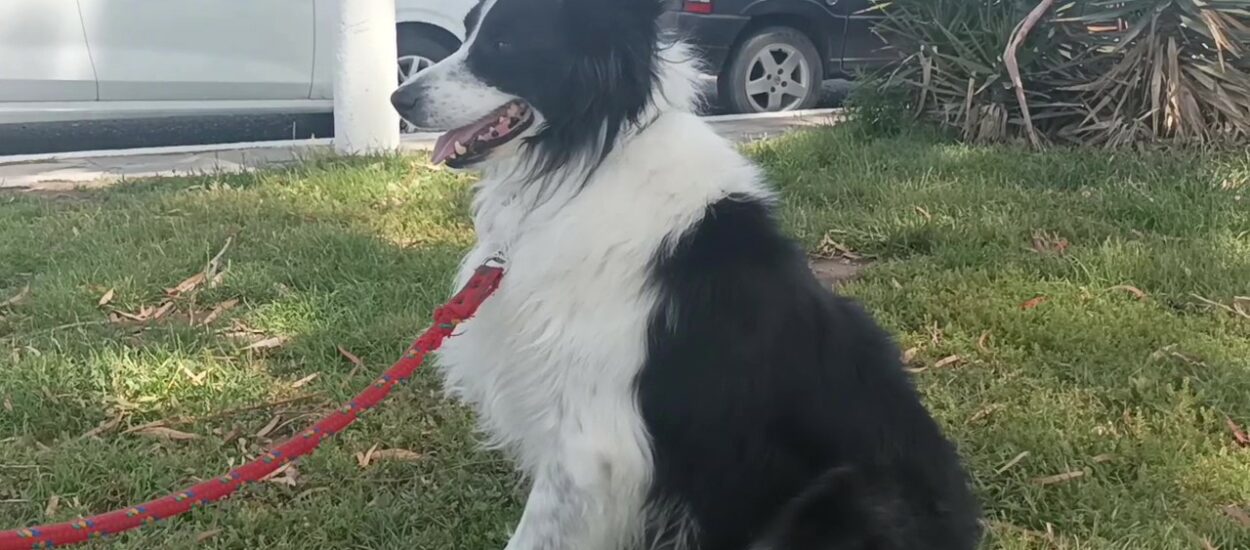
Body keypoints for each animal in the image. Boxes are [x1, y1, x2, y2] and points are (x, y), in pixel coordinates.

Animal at [387, 0, 975, 545]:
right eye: (468, 29)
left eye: (506, 42)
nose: (398, 99)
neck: (590, 159)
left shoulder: (591, 445)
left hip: (848, 496)